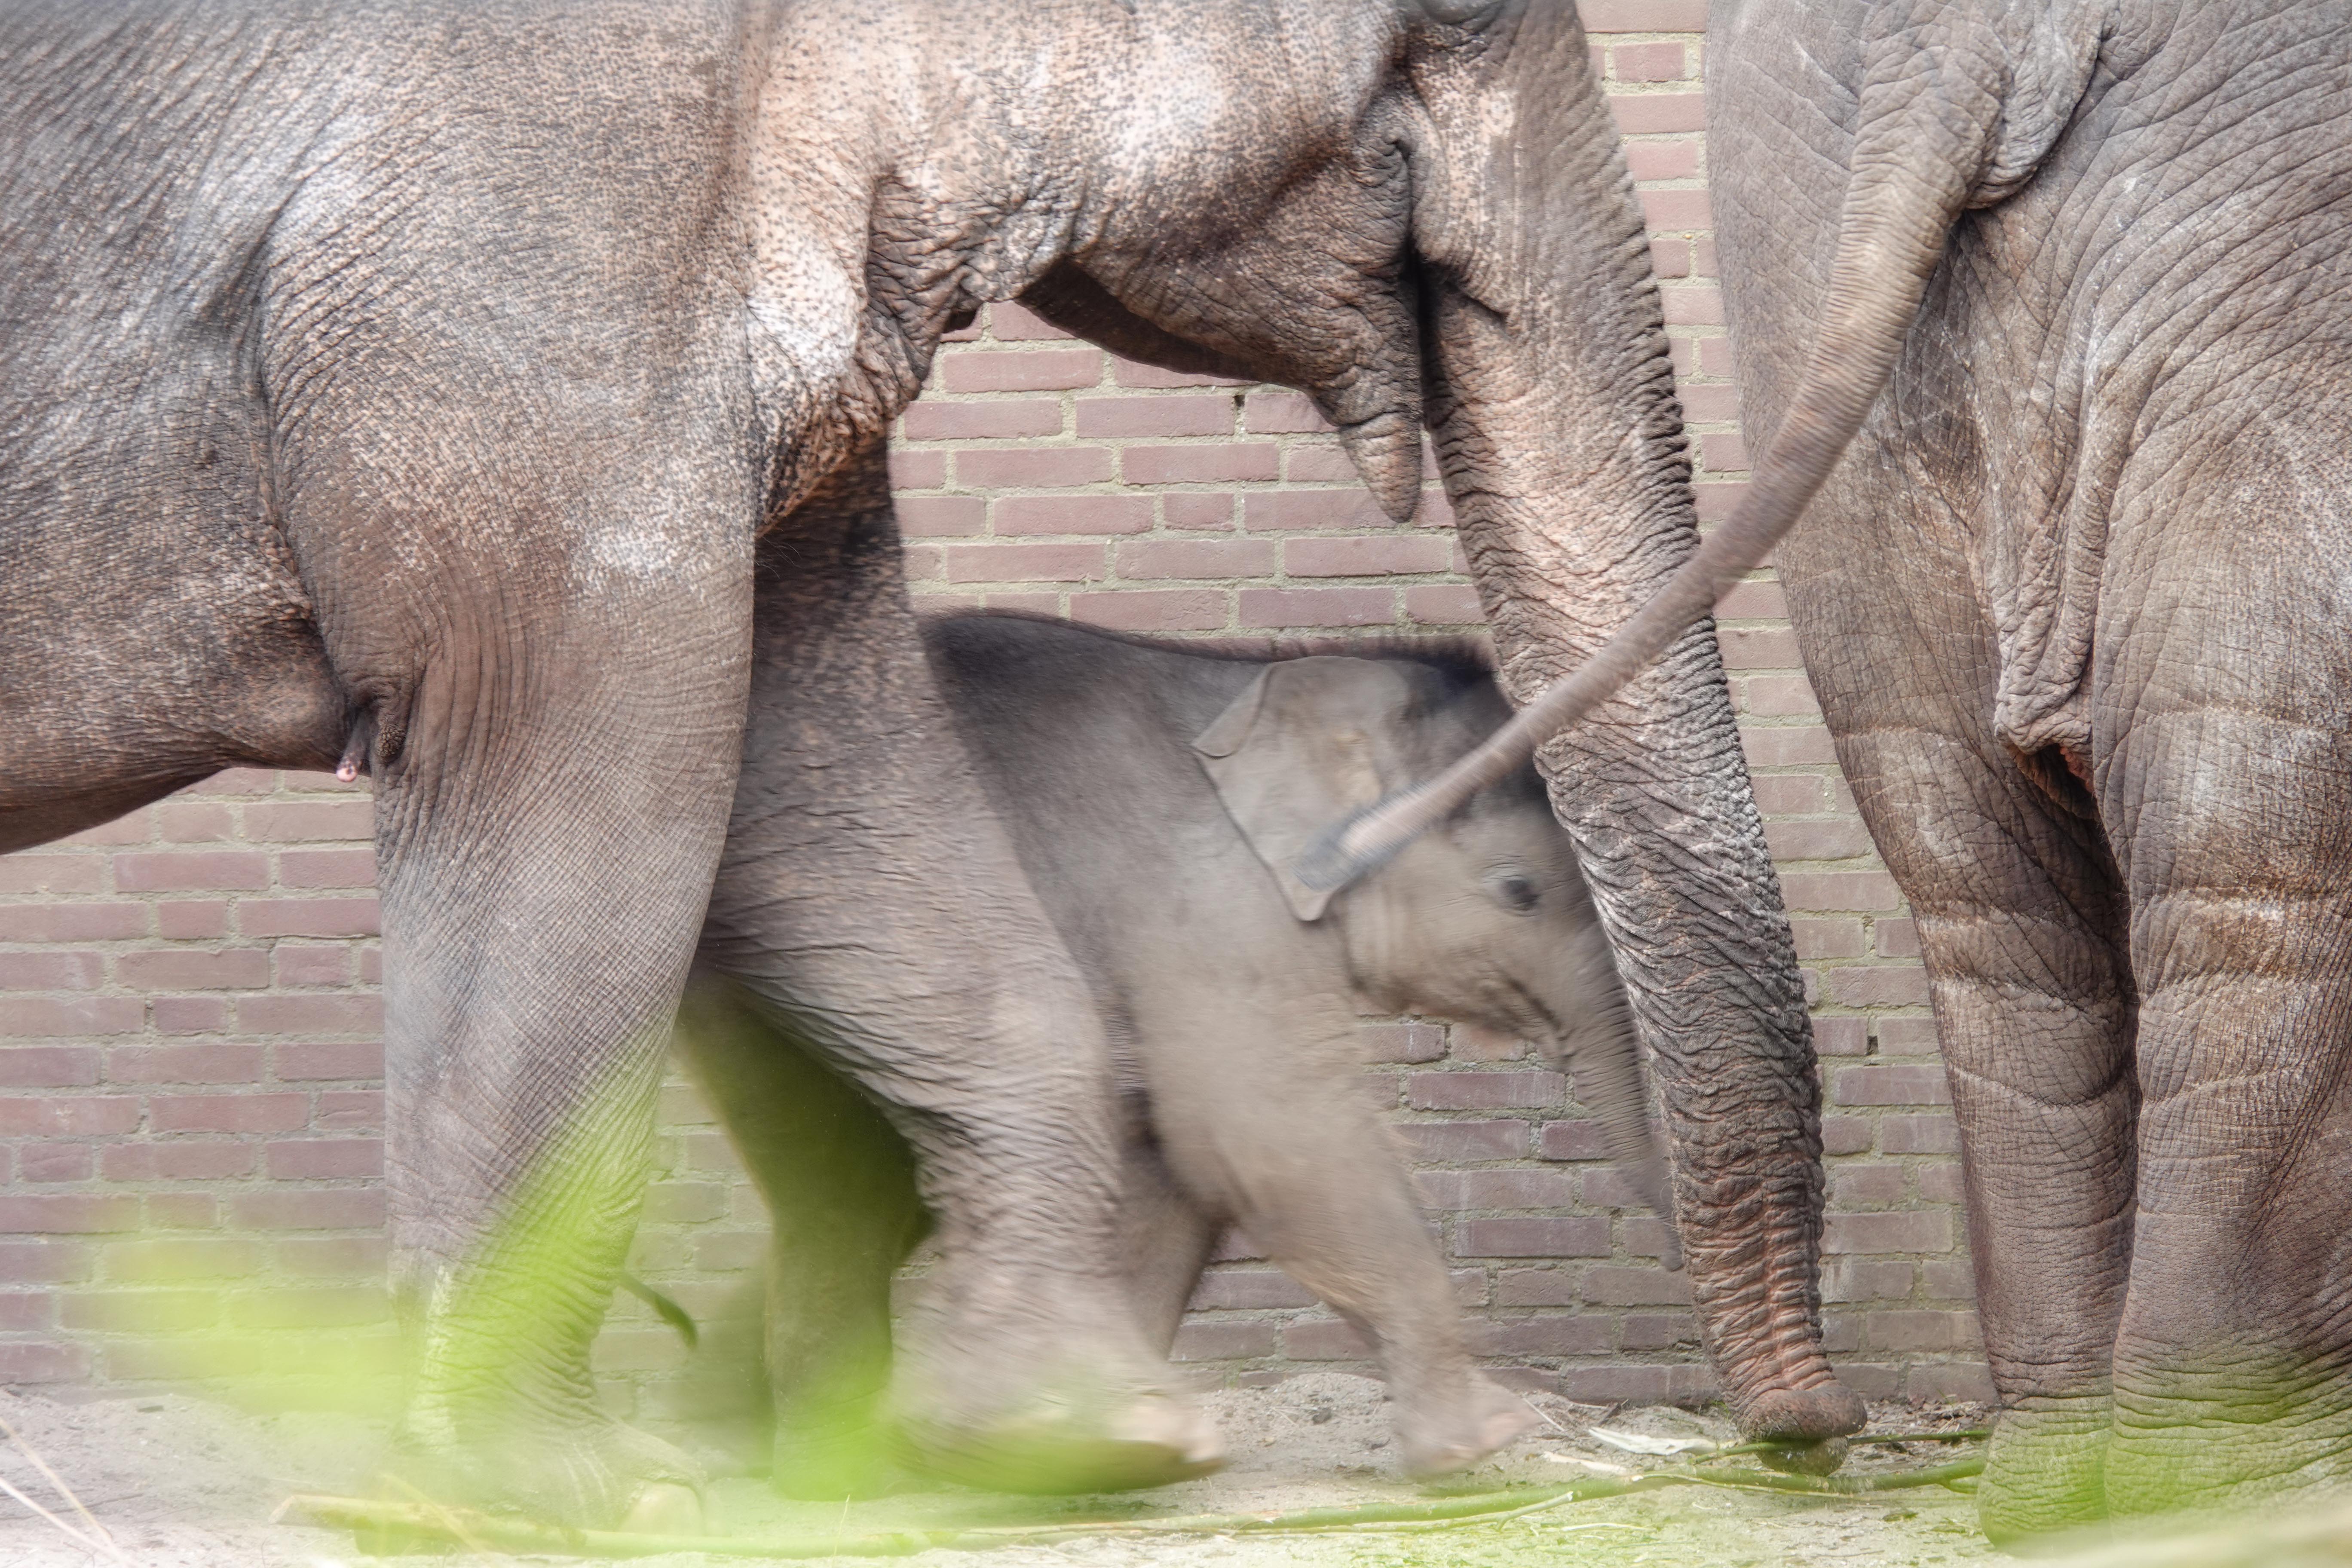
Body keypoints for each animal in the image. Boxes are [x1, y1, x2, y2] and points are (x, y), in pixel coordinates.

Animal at [679, 612, 1683, 1496]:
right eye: (1518, 891)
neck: (1264, 682)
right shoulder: (1197, 898)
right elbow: (1271, 1129)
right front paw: (1489, 1439)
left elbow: (1172, 1171)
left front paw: (1096, 1452)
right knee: (841, 1188)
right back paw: (826, 1479)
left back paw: (745, 1438)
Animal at [1317, 0, 2352, 1543]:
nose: (1822, 1436)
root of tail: (1970, 39)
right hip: (2266, 304)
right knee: (2256, 888)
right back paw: (2221, 1491)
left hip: (1812, 275)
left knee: (1997, 914)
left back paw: (2067, 1490)